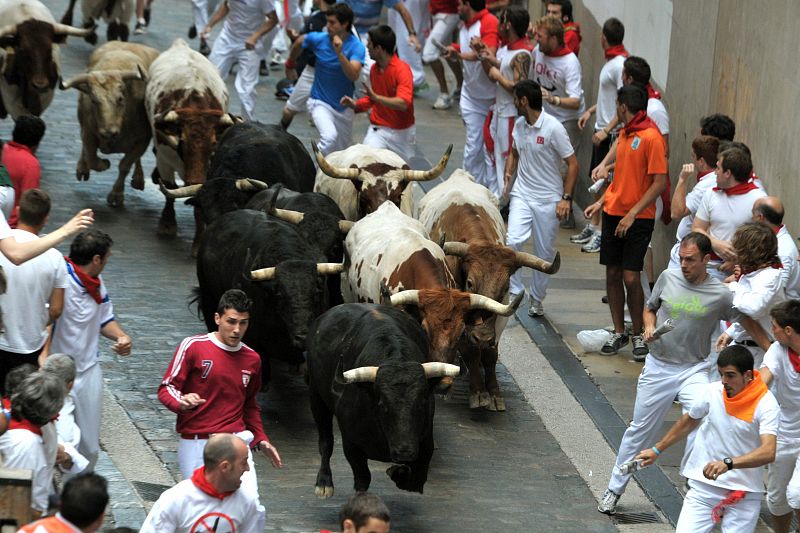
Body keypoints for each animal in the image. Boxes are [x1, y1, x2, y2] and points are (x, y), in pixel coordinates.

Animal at [60, 41, 159, 206]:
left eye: (120, 98)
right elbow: (92, 158)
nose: (108, 132)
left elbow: (125, 165)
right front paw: (102, 164)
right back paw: (82, 168)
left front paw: (116, 194)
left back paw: (138, 179)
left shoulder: (143, 140)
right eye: (94, 100)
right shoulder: (88, 133)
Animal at [145, 39, 238, 251]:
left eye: (213, 144)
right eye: (182, 141)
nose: (194, 179)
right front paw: (167, 224)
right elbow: (170, 189)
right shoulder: (164, 158)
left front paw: (198, 243)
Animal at [416, 168, 560, 410]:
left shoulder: (502, 312)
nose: (483, 336)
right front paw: (477, 391)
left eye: (505, 286)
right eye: (470, 283)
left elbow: (491, 354)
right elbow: (470, 351)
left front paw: (494, 393)